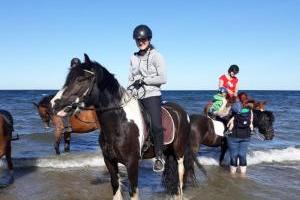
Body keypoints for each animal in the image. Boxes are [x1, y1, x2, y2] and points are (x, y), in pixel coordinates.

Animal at [51, 54, 202, 199]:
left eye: (81, 79)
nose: (54, 104)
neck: (120, 123)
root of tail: (181, 112)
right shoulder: (110, 161)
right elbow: (115, 187)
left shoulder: (132, 163)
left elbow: (133, 192)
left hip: (179, 152)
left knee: (180, 178)